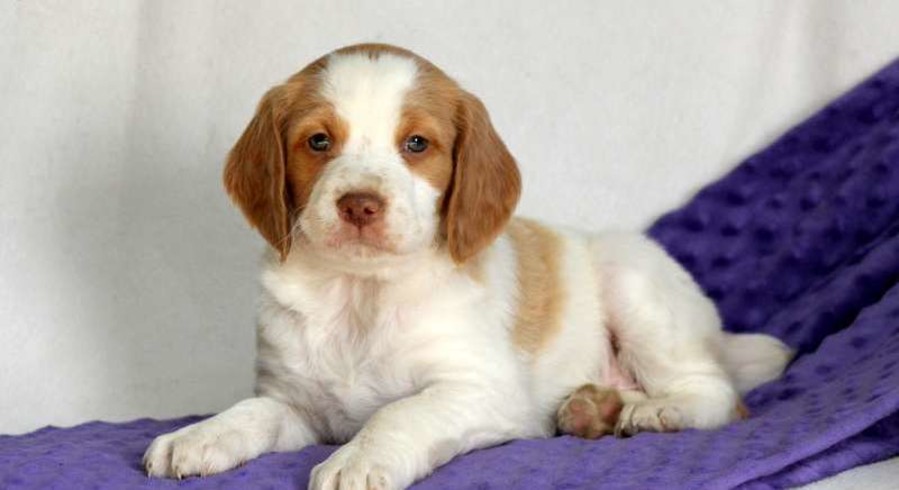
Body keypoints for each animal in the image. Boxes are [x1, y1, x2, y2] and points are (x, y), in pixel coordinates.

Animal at [142, 44, 796, 488]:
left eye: (417, 145)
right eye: (318, 142)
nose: (359, 205)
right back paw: (592, 408)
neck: (360, 294)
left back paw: (658, 409)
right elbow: (250, 411)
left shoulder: (481, 391)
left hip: (634, 288)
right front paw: (198, 435)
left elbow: (401, 412)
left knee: (720, 394)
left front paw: (357, 461)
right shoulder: (297, 404)